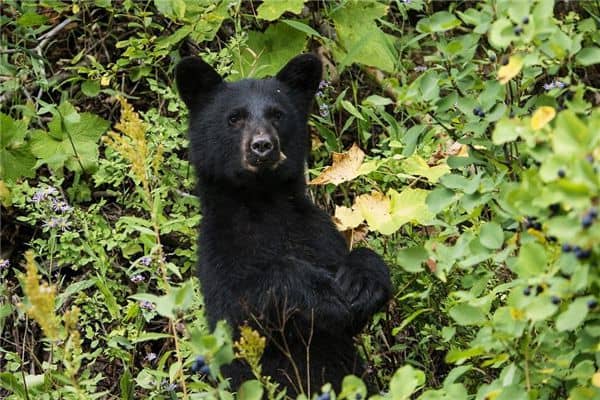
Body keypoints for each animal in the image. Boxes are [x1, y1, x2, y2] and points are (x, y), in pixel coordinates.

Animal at [177, 54, 394, 396]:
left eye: (277, 115)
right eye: (234, 118)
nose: (263, 146)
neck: (263, 202)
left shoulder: (316, 232)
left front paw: (361, 282)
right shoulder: (219, 251)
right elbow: (242, 303)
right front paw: (320, 293)